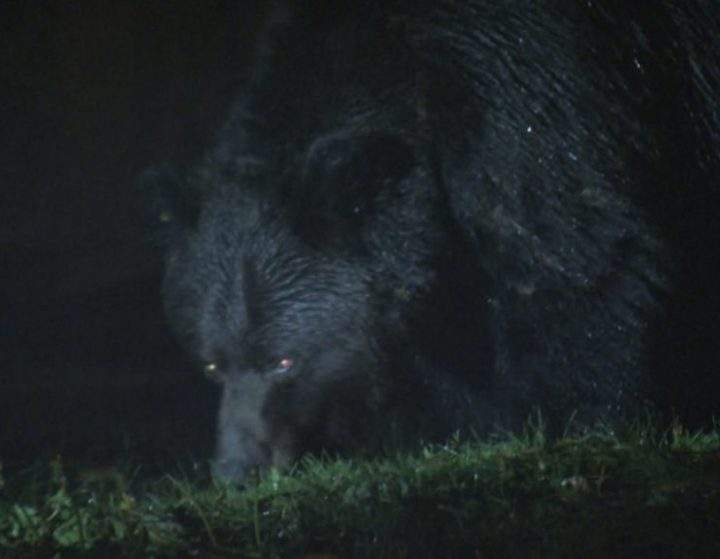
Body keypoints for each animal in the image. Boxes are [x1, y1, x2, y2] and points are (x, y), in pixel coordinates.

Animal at [143, 1, 720, 481]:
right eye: (212, 364)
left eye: (284, 361)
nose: (236, 473)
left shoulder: (530, 102)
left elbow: (575, 264)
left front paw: (579, 424)